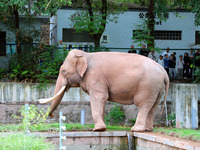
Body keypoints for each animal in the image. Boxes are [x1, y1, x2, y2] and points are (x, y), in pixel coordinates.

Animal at [38, 49, 169, 131]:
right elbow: (102, 100)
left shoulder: (96, 77)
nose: (52, 115)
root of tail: (164, 72)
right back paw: (148, 129)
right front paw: (102, 127)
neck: (86, 54)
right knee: (153, 107)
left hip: (148, 86)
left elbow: (98, 97)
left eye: (63, 71)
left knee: (143, 105)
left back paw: (136, 129)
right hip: (157, 88)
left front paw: (98, 129)